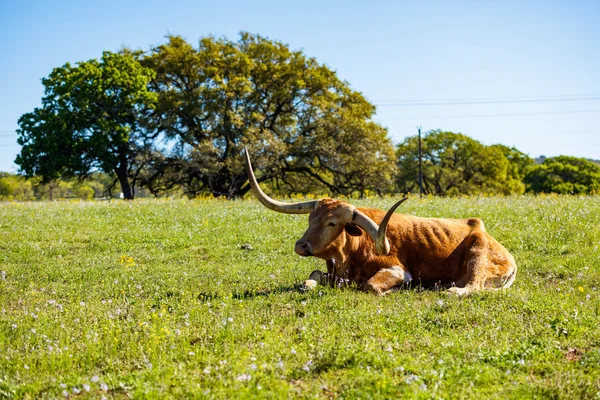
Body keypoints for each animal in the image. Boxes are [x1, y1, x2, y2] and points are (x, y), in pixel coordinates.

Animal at [244, 148, 516, 296]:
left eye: (332, 223)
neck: (351, 255)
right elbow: (311, 277)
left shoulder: (397, 270)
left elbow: (371, 286)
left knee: (472, 286)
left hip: (477, 259)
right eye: (311, 218)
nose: (301, 245)